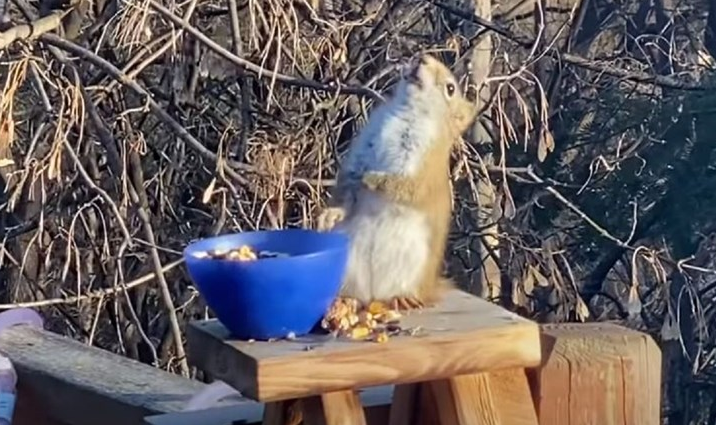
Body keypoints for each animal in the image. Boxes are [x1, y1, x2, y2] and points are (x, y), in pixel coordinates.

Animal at [316, 54, 478, 310]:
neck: (407, 112)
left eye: (450, 89)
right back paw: (344, 299)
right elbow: (349, 182)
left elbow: (406, 187)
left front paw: (371, 178)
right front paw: (331, 213)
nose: (422, 58)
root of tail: (373, 294)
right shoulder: (365, 144)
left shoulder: (425, 166)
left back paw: (402, 298)